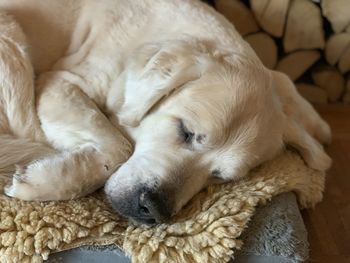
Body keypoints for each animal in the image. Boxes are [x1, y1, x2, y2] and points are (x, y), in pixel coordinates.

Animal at [0, 0, 330, 225]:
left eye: (220, 176)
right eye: (185, 131)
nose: (153, 209)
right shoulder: (62, 82)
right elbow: (120, 145)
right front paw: (41, 182)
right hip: (11, 38)